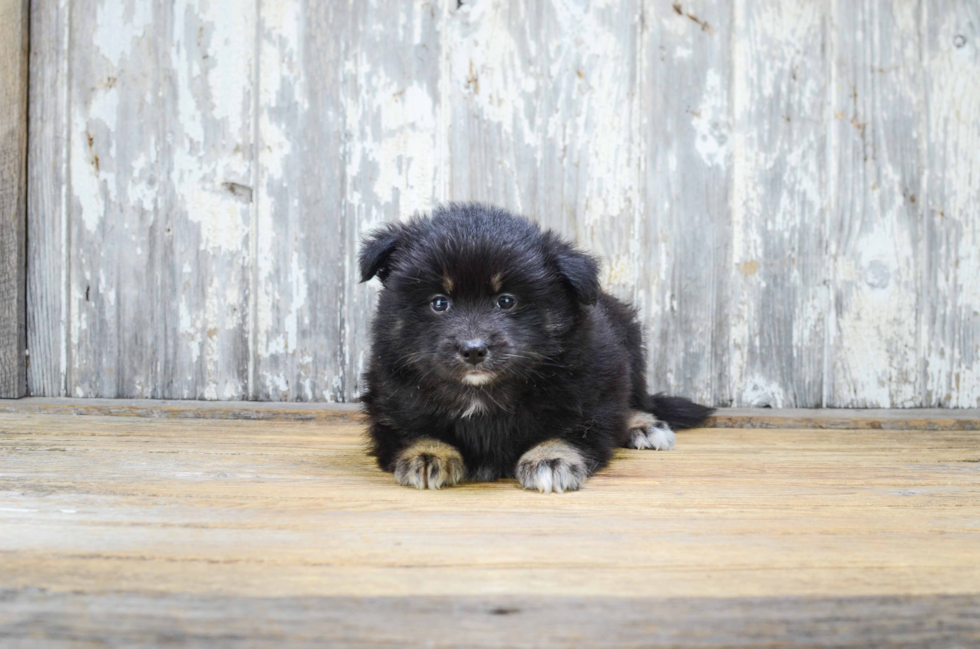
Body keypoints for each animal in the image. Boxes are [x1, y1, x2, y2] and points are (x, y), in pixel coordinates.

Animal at [360, 202, 712, 492]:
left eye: (506, 301)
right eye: (439, 303)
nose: (473, 350)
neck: (481, 393)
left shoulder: (596, 390)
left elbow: (577, 428)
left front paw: (551, 458)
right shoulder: (390, 396)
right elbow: (409, 428)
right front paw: (428, 453)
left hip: (631, 343)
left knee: (636, 400)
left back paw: (644, 426)